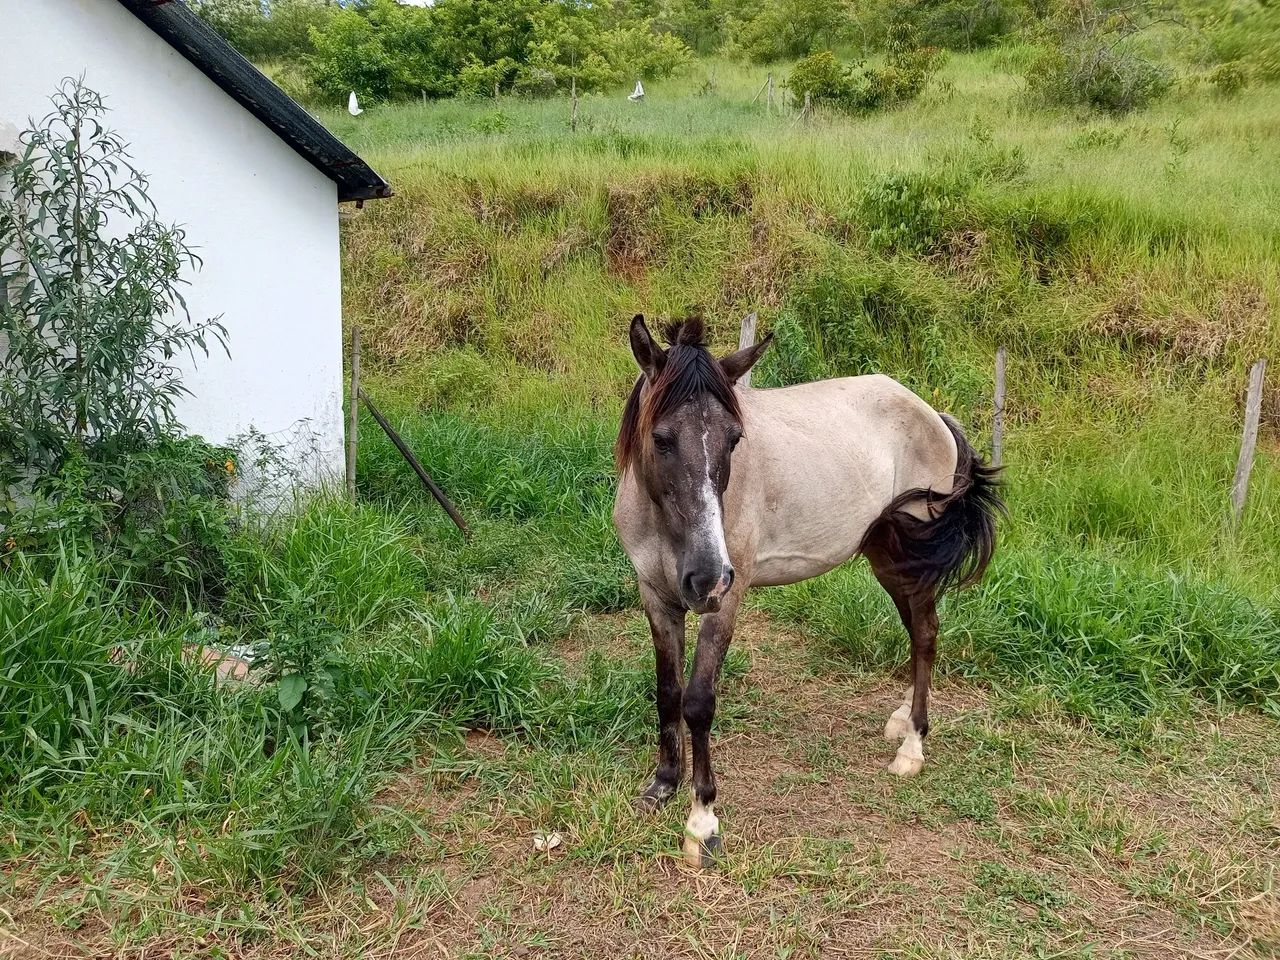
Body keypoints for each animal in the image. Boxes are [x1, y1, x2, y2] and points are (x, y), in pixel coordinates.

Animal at [612, 313, 1003, 868]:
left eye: (735, 439)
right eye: (662, 438)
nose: (707, 576)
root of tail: (933, 415)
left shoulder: (725, 602)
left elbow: (698, 702)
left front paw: (702, 823)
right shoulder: (657, 595)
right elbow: (667, 691)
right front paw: (663, 784)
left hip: (910, 561)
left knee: (926, 633)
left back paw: (912, 748)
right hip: (888, 556)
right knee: (917, 632)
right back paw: (902, 720)